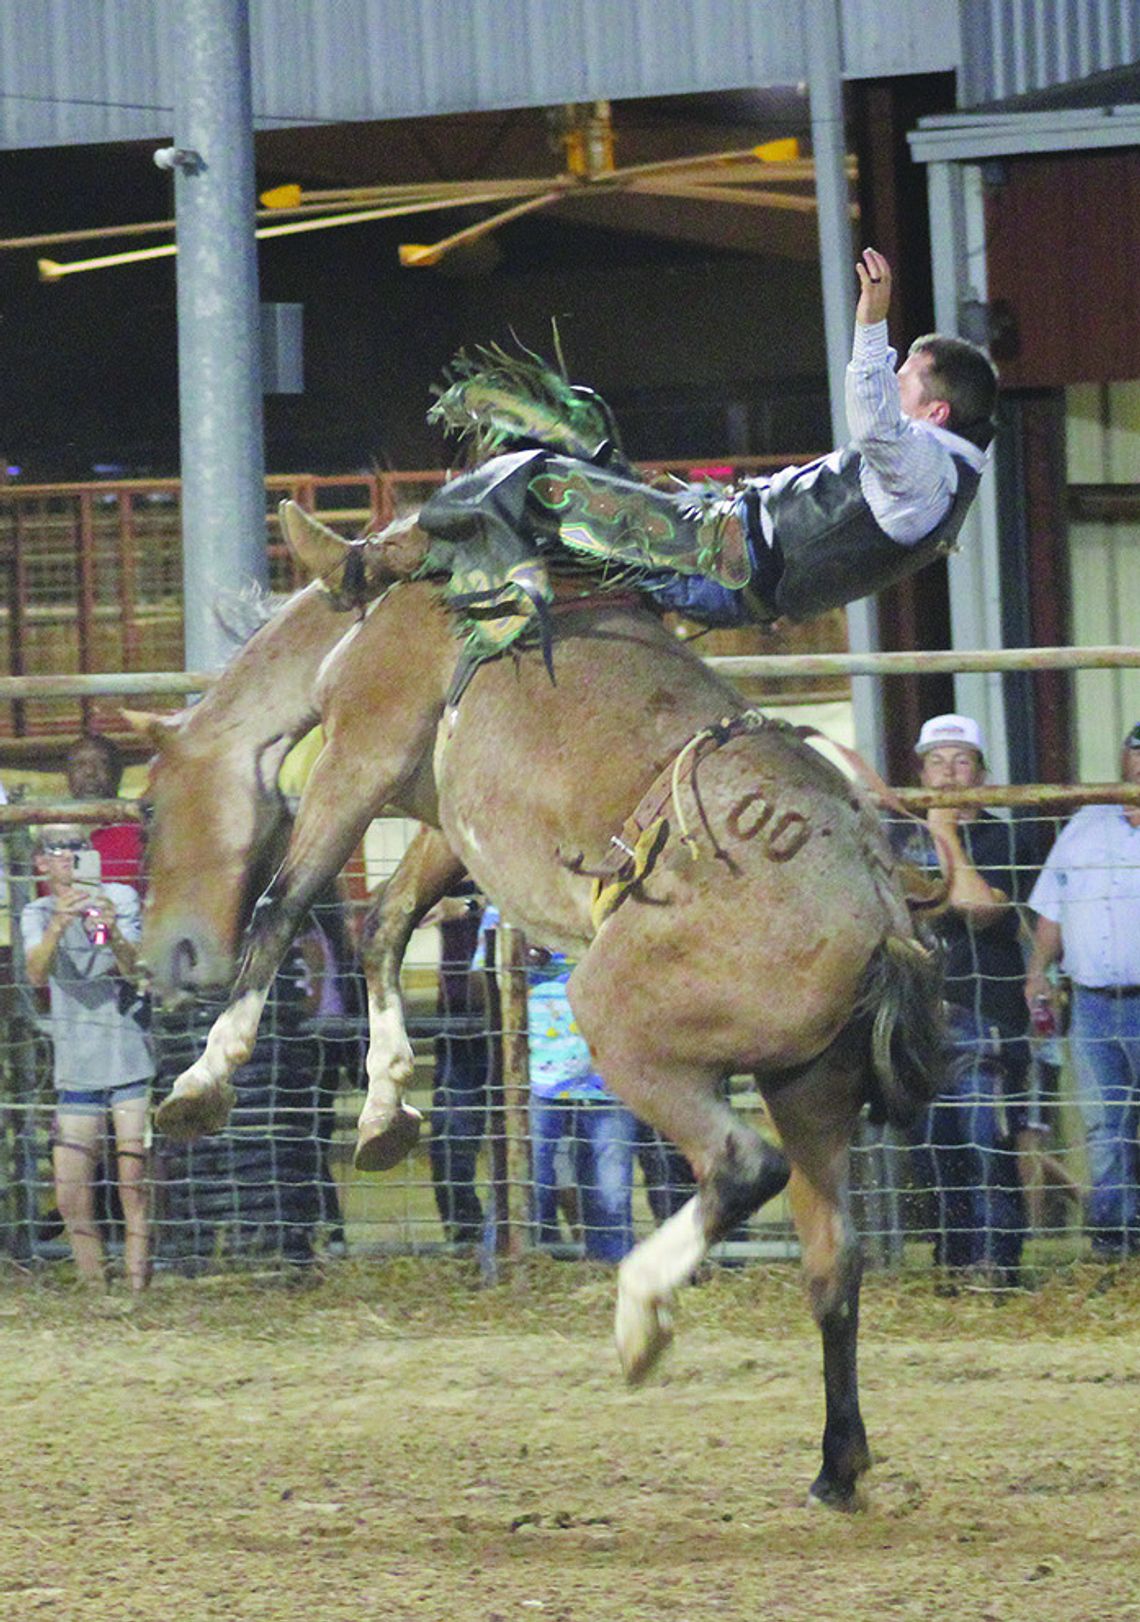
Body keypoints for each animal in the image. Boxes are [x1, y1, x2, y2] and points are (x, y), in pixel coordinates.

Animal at [137, 502, 940, 1505]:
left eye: (147, 811)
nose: (161, 960)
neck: (384, 598)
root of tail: (881, 917)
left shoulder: (362, 754)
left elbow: (284, 908)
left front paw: (202, 1081)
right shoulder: (447, 821)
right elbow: (384, 924)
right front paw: (384, 1107)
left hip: (627, 1029)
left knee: (742, 1165)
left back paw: (641, 1317)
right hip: (811, 1085)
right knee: (833, 1261)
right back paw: (835, 1466)